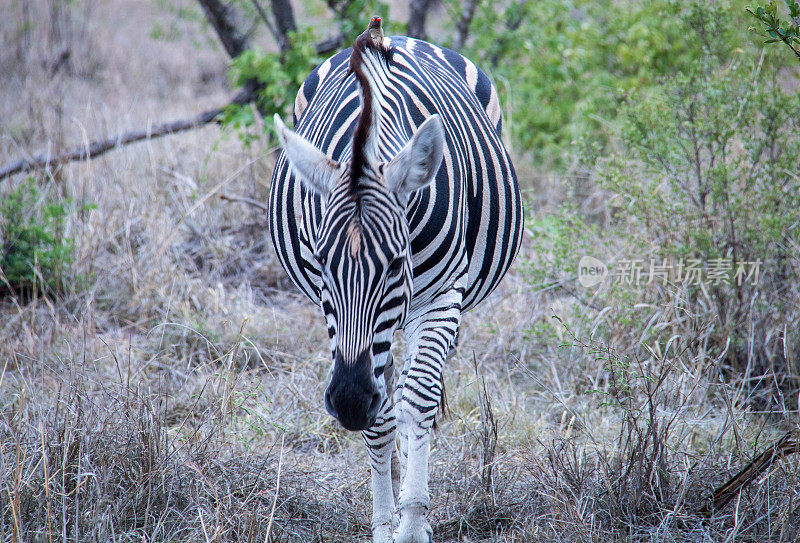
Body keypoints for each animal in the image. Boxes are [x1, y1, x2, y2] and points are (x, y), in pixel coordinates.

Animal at [268, 18, 520, 543]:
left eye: (394, 264)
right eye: (320, 262)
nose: (348, 401)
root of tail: (398, 37)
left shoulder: (440, 298)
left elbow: (417, 400)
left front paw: (413, 520)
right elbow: (382, 419)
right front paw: (387, 522)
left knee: (413, 386)